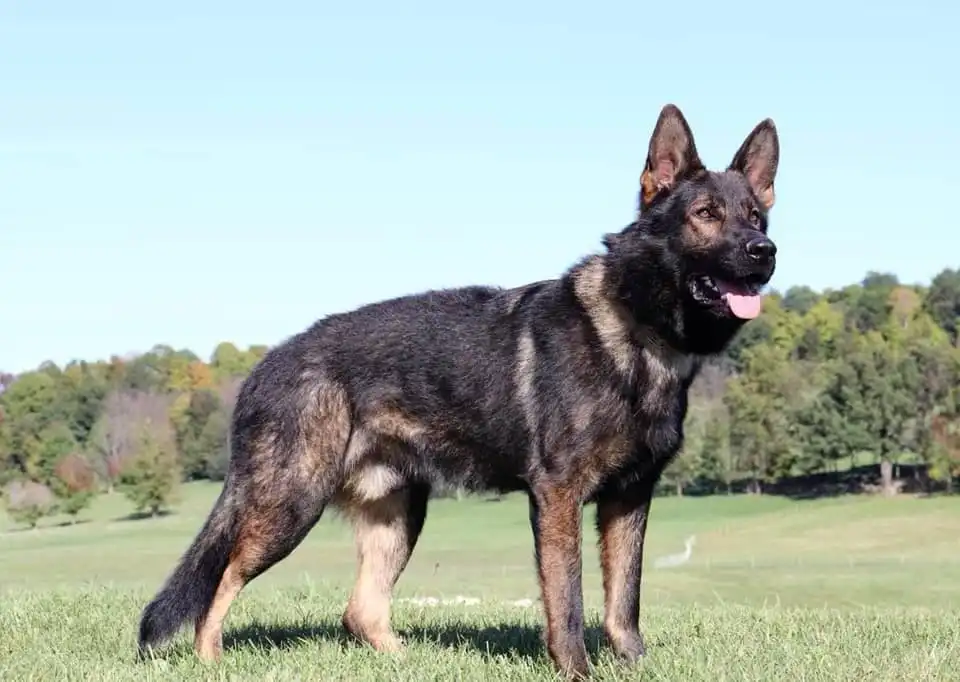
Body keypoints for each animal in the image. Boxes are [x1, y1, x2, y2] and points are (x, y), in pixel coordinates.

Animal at [137, 103, 780, 676]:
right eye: (705, 213)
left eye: (756, 217)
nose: (764, 253)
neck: (636, 328)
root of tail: (265, 364)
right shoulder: (559, 496)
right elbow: (568, 600)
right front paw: (576, 670)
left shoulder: (630, 497)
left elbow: (625, 601)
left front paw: (634, 664)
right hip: (291, 504)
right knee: (221, 580)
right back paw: (211, 660)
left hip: (399, 516)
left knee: (360, 612)